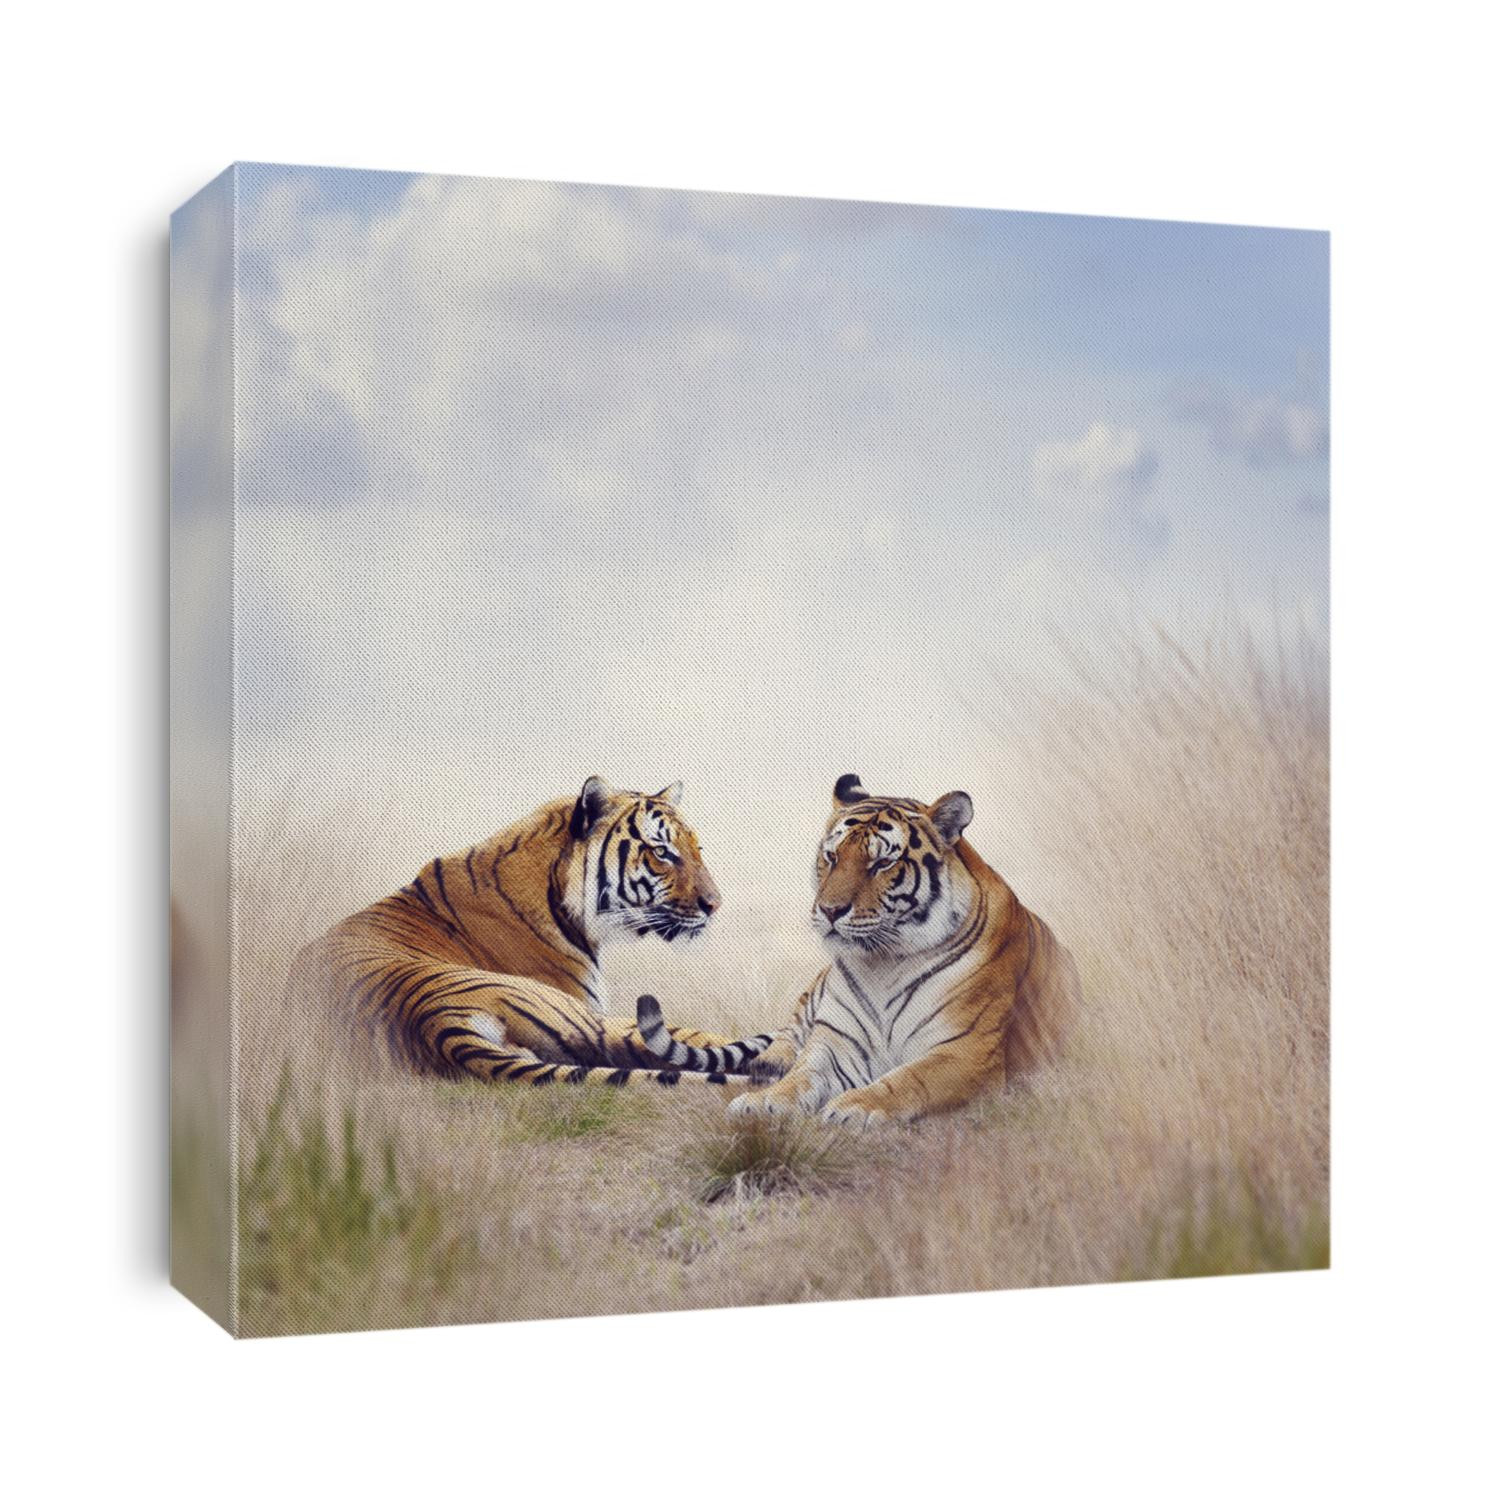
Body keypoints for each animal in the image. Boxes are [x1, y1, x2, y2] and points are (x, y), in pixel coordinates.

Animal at [641, 774, 1079, 1126]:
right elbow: (802, 1076)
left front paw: (856, 1107)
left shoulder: (965, 1051)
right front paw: (763, 1102)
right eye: (831, 856)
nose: (830, 910)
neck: (884, 963)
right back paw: (770, 1063)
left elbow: (907, 1078)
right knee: (787, 1036)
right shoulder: (835, 1042)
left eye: (882, 863)